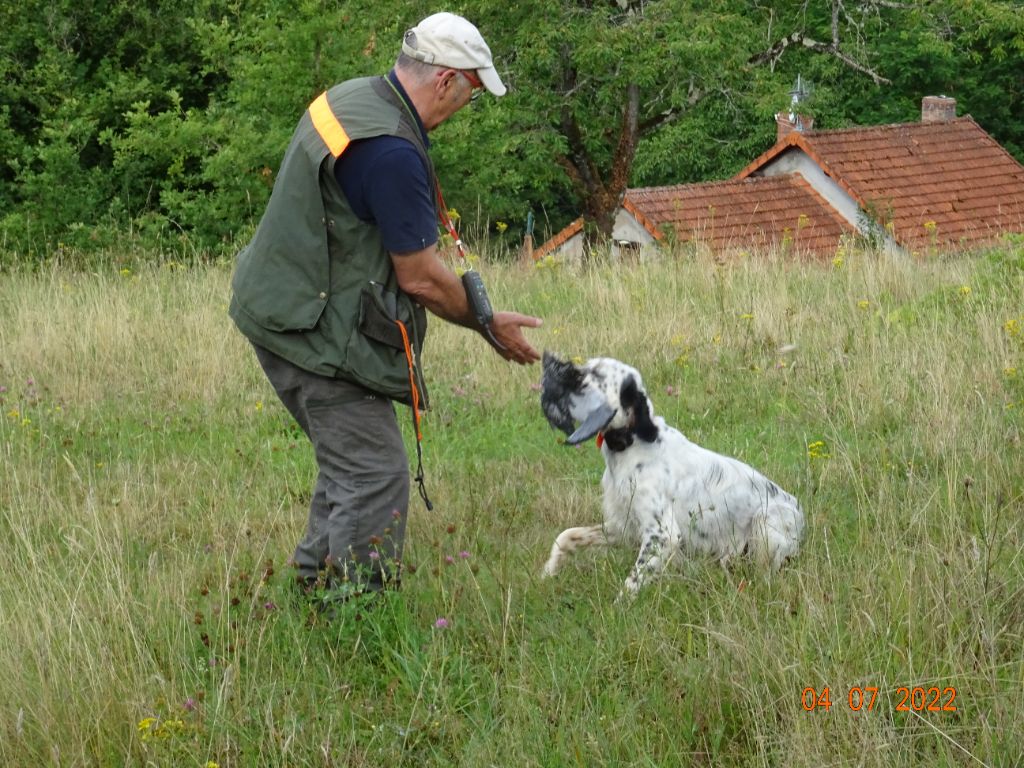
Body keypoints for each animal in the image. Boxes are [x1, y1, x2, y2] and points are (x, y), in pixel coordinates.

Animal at [540, 352, 802, 598]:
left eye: (596, 374)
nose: (552, 365)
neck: (634, 443)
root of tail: (800, 512)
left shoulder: (661, 534)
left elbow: (630, 585)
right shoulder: (623, 526)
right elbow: (566, 535)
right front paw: (548, 571)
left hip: (765, 522)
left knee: (765, 574)